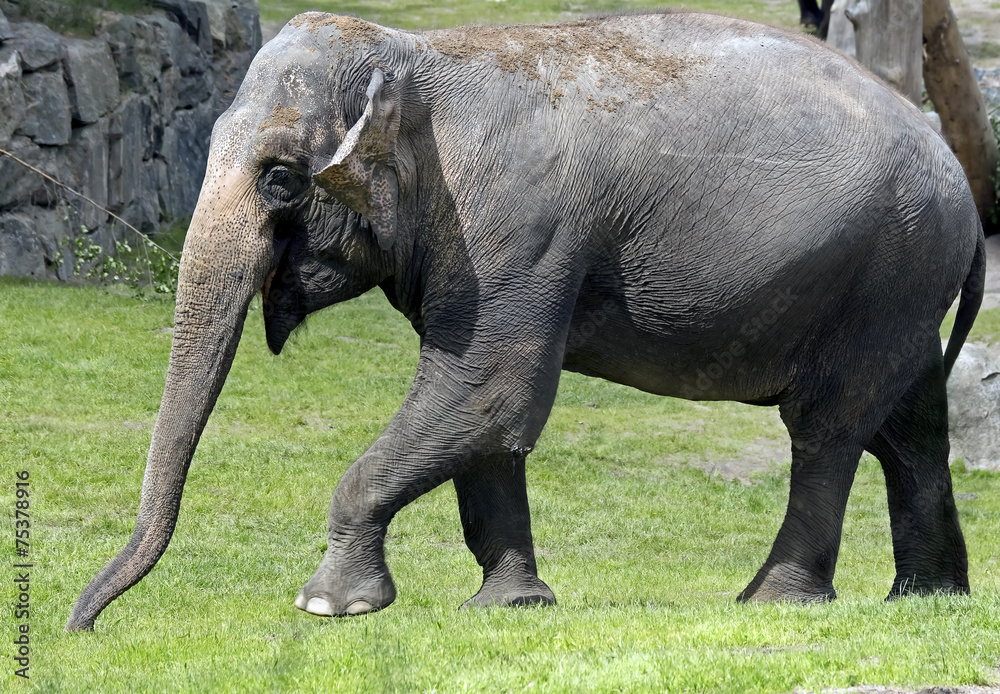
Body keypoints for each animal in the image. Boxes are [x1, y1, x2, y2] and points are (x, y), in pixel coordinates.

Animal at [67, 10, 985, 631]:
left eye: (282, 179)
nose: (85, 625)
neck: (415, 55)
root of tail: (970, 199)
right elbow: (486, 425)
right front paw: (512, 607)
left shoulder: (512, 228)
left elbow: (487, 390)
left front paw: (332, 607)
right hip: (902, 290)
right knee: (910, 432)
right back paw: (926, 600)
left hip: (886, 273)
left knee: (827, 431)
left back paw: (772, 604)